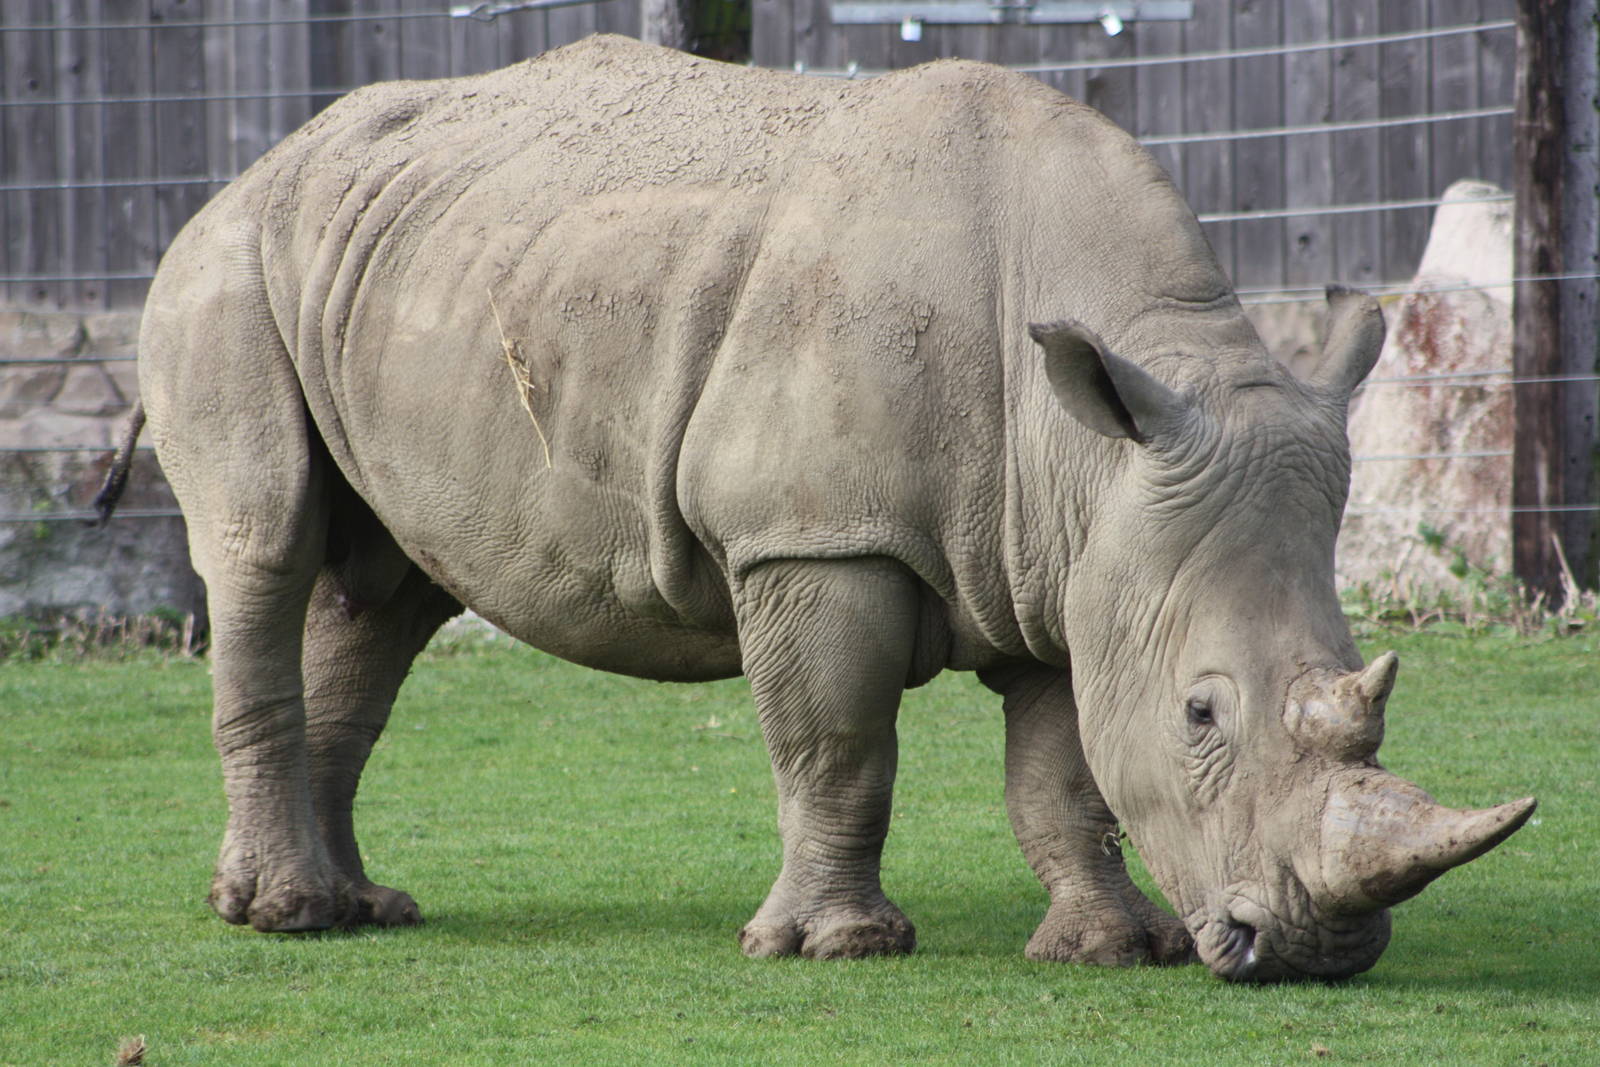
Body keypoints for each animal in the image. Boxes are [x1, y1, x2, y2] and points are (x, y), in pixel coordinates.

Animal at [101, 36, 1533, 981]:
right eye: (1202, 713)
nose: (1314, 951)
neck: (1090, 444)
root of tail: (262, 162)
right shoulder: (812, 534)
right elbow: (836, 744)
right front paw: (836, 946)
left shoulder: (1063, 555)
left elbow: (1061, 767)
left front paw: (1108, 949)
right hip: (226, 265)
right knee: (266, 546)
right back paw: (285, 917)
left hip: (405, 261)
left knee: (387, 588)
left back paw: (364, 908)